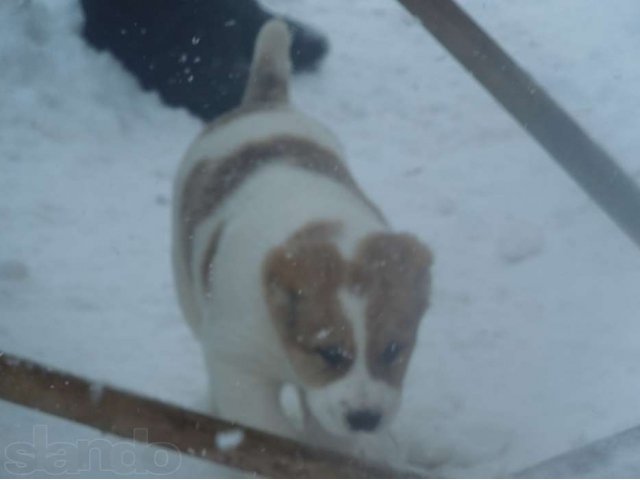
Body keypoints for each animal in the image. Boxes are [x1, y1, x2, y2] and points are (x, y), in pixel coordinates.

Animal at [172, 19, 432, 450]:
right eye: (328, 352)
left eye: (394, 348)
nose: (365, 419)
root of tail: (267, 102)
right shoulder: (236, 361)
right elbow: (264, 426)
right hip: (187, 288)